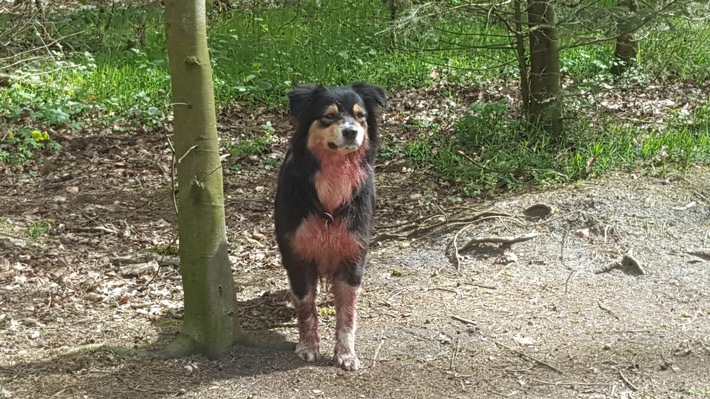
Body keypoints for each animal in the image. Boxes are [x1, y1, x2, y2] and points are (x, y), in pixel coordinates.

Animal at [276, 82, 390, 372]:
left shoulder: (353, 254)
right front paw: (308, 346)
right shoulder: (298, 254)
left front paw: (346, 353)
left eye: (360, 116)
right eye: (329, 115)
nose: (351, 132)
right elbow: (306, 306)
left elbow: (347, 313)